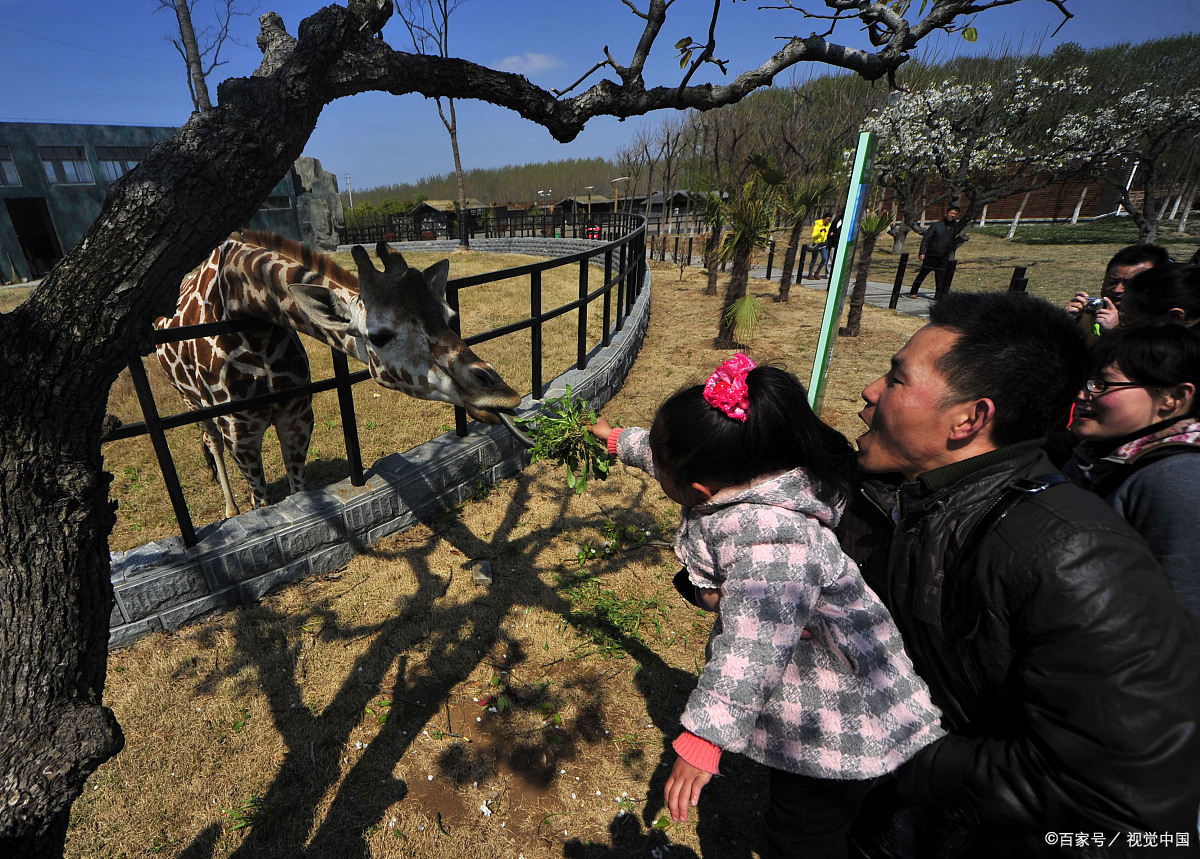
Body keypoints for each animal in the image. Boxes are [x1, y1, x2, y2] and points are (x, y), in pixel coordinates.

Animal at [154, 227, 520, 520]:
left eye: (449, 315)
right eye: (380, 336)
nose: (503, 393)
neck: (246, 314)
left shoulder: (298, 419)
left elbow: (298, 491)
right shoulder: (240, 433)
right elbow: (262, 502)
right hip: (193, 403)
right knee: (210, 440)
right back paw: (231, 511)